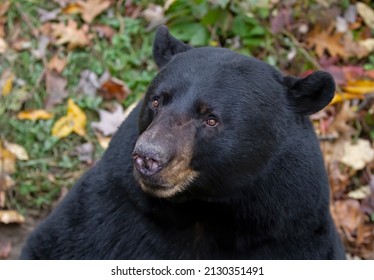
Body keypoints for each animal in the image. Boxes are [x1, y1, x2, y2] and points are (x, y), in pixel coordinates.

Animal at [19, 26, 344, 260]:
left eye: (211, 119)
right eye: (156, 101)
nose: (148, 157)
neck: (204, 211)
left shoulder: (292, 231)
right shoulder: (110, 209)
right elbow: (59, 244)